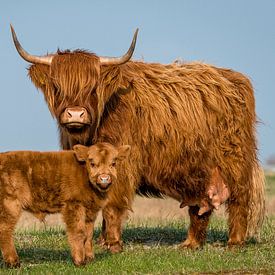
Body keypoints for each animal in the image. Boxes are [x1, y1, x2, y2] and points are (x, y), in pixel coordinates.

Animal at [0, 142, 130, 268]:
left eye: (113, 163)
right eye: (92, 163)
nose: (104, 178)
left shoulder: (90, 211)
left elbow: (88, 234)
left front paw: (90, 258)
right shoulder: (74, 205)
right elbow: (78, 232)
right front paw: (79, 261)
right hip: (9, 204)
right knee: (5, 230)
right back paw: (13, 263)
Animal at [11, 26, 268, 254]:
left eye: (93, 88)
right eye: (56, 86)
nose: (75, 114)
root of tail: (233, 78)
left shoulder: (122, 166)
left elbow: (112, 205)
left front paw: (113, 244)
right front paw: (101, 241)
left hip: (234, 161)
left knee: (239, 199)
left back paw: (234, 243)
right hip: (198, 171)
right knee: (200, 206)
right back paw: (191, 244)